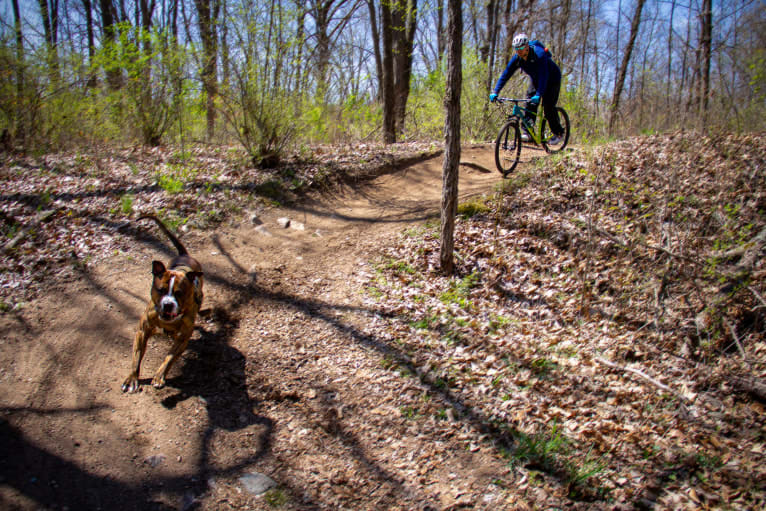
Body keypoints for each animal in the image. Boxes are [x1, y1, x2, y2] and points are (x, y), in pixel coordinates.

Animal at [121, 214, 204, 394]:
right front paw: (132, 378)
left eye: (179, 293)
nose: (167, 304)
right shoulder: (142, 331)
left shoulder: (183, 339)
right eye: (161, 290)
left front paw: (159, 375)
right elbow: (136, 356)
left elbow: (169, 357)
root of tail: (184, 255)